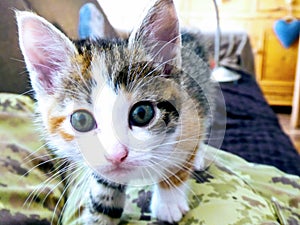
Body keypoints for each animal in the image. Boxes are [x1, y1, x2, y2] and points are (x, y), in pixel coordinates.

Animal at [17, 0, 213, 224]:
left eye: (142, 113)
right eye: (81, 120)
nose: (116, 155)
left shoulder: (189, 117)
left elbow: (178, 163)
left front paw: (168, 203)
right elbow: (104, 193)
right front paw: (99, 215)